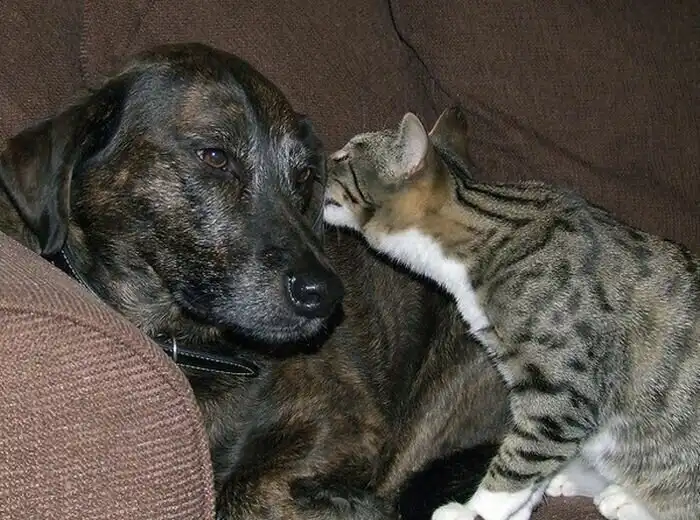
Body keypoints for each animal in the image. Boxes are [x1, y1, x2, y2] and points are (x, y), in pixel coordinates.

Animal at [0, 43, 509, 520]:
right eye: (214, 157)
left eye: (304, 175)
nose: (325, 295)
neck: (195, 347)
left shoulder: (347, 422)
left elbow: (242, 491)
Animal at [322, 106, 700, 520]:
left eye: (344, 157)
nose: (320, 159)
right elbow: (530, 477)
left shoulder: (559, 398)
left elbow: (516, 464)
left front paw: (472, 511)